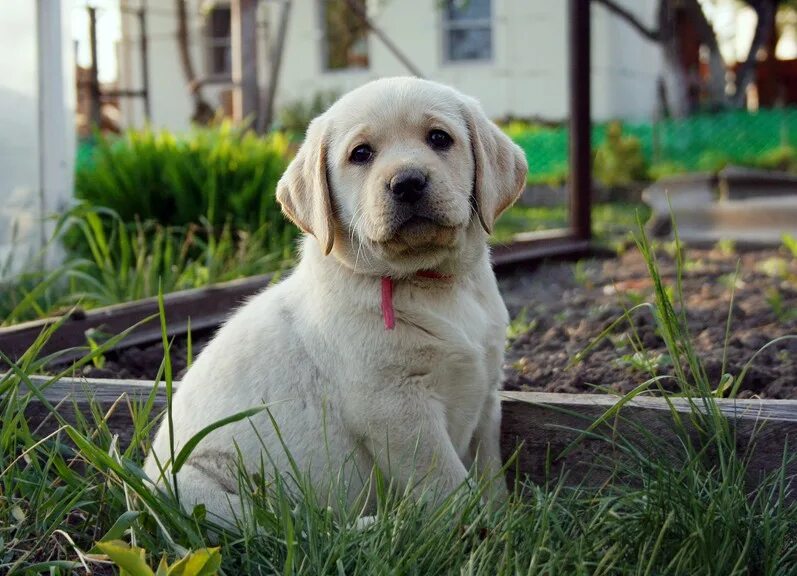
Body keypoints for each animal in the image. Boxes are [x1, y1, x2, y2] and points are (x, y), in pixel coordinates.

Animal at [144, 77, 528, 528]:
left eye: (439, 138)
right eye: (361, 154)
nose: (408, 182)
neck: (430, 282)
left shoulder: (486, 393)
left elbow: (489, 471)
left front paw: (502, 520)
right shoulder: (394, 407)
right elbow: (447, 482)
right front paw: (473, 529)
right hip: (200, 491)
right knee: (293, 524)